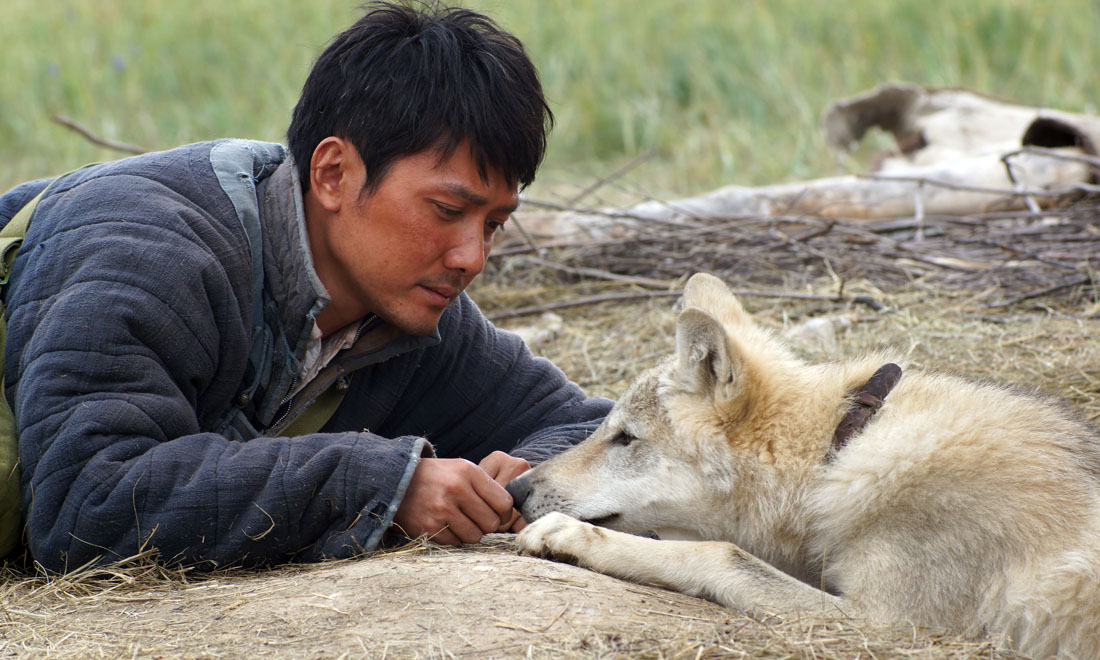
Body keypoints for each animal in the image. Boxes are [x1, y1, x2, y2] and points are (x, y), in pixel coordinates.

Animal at [509, 273, 1100, 659]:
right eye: (607, 428)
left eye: (625, 438)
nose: (514, 490)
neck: (837, 452)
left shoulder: (889, 628)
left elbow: (718, 553)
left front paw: (568, 536)